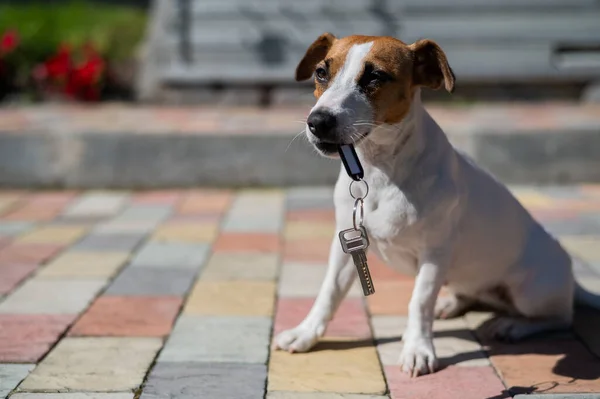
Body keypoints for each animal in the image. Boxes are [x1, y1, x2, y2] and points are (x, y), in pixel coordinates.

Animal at [274, 33, 600, 378]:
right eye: (321, 72)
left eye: (375, 77)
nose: (318, 121)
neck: (380, 171)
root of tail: (571, 277)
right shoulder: (347, 247)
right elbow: (329, 293)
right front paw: (305, 332)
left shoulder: (434, 254)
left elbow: (419, 301)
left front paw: (418, 349)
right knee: (469, 293)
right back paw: (450, 304)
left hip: (531, 292)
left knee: (560, 318)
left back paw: (513, 325)